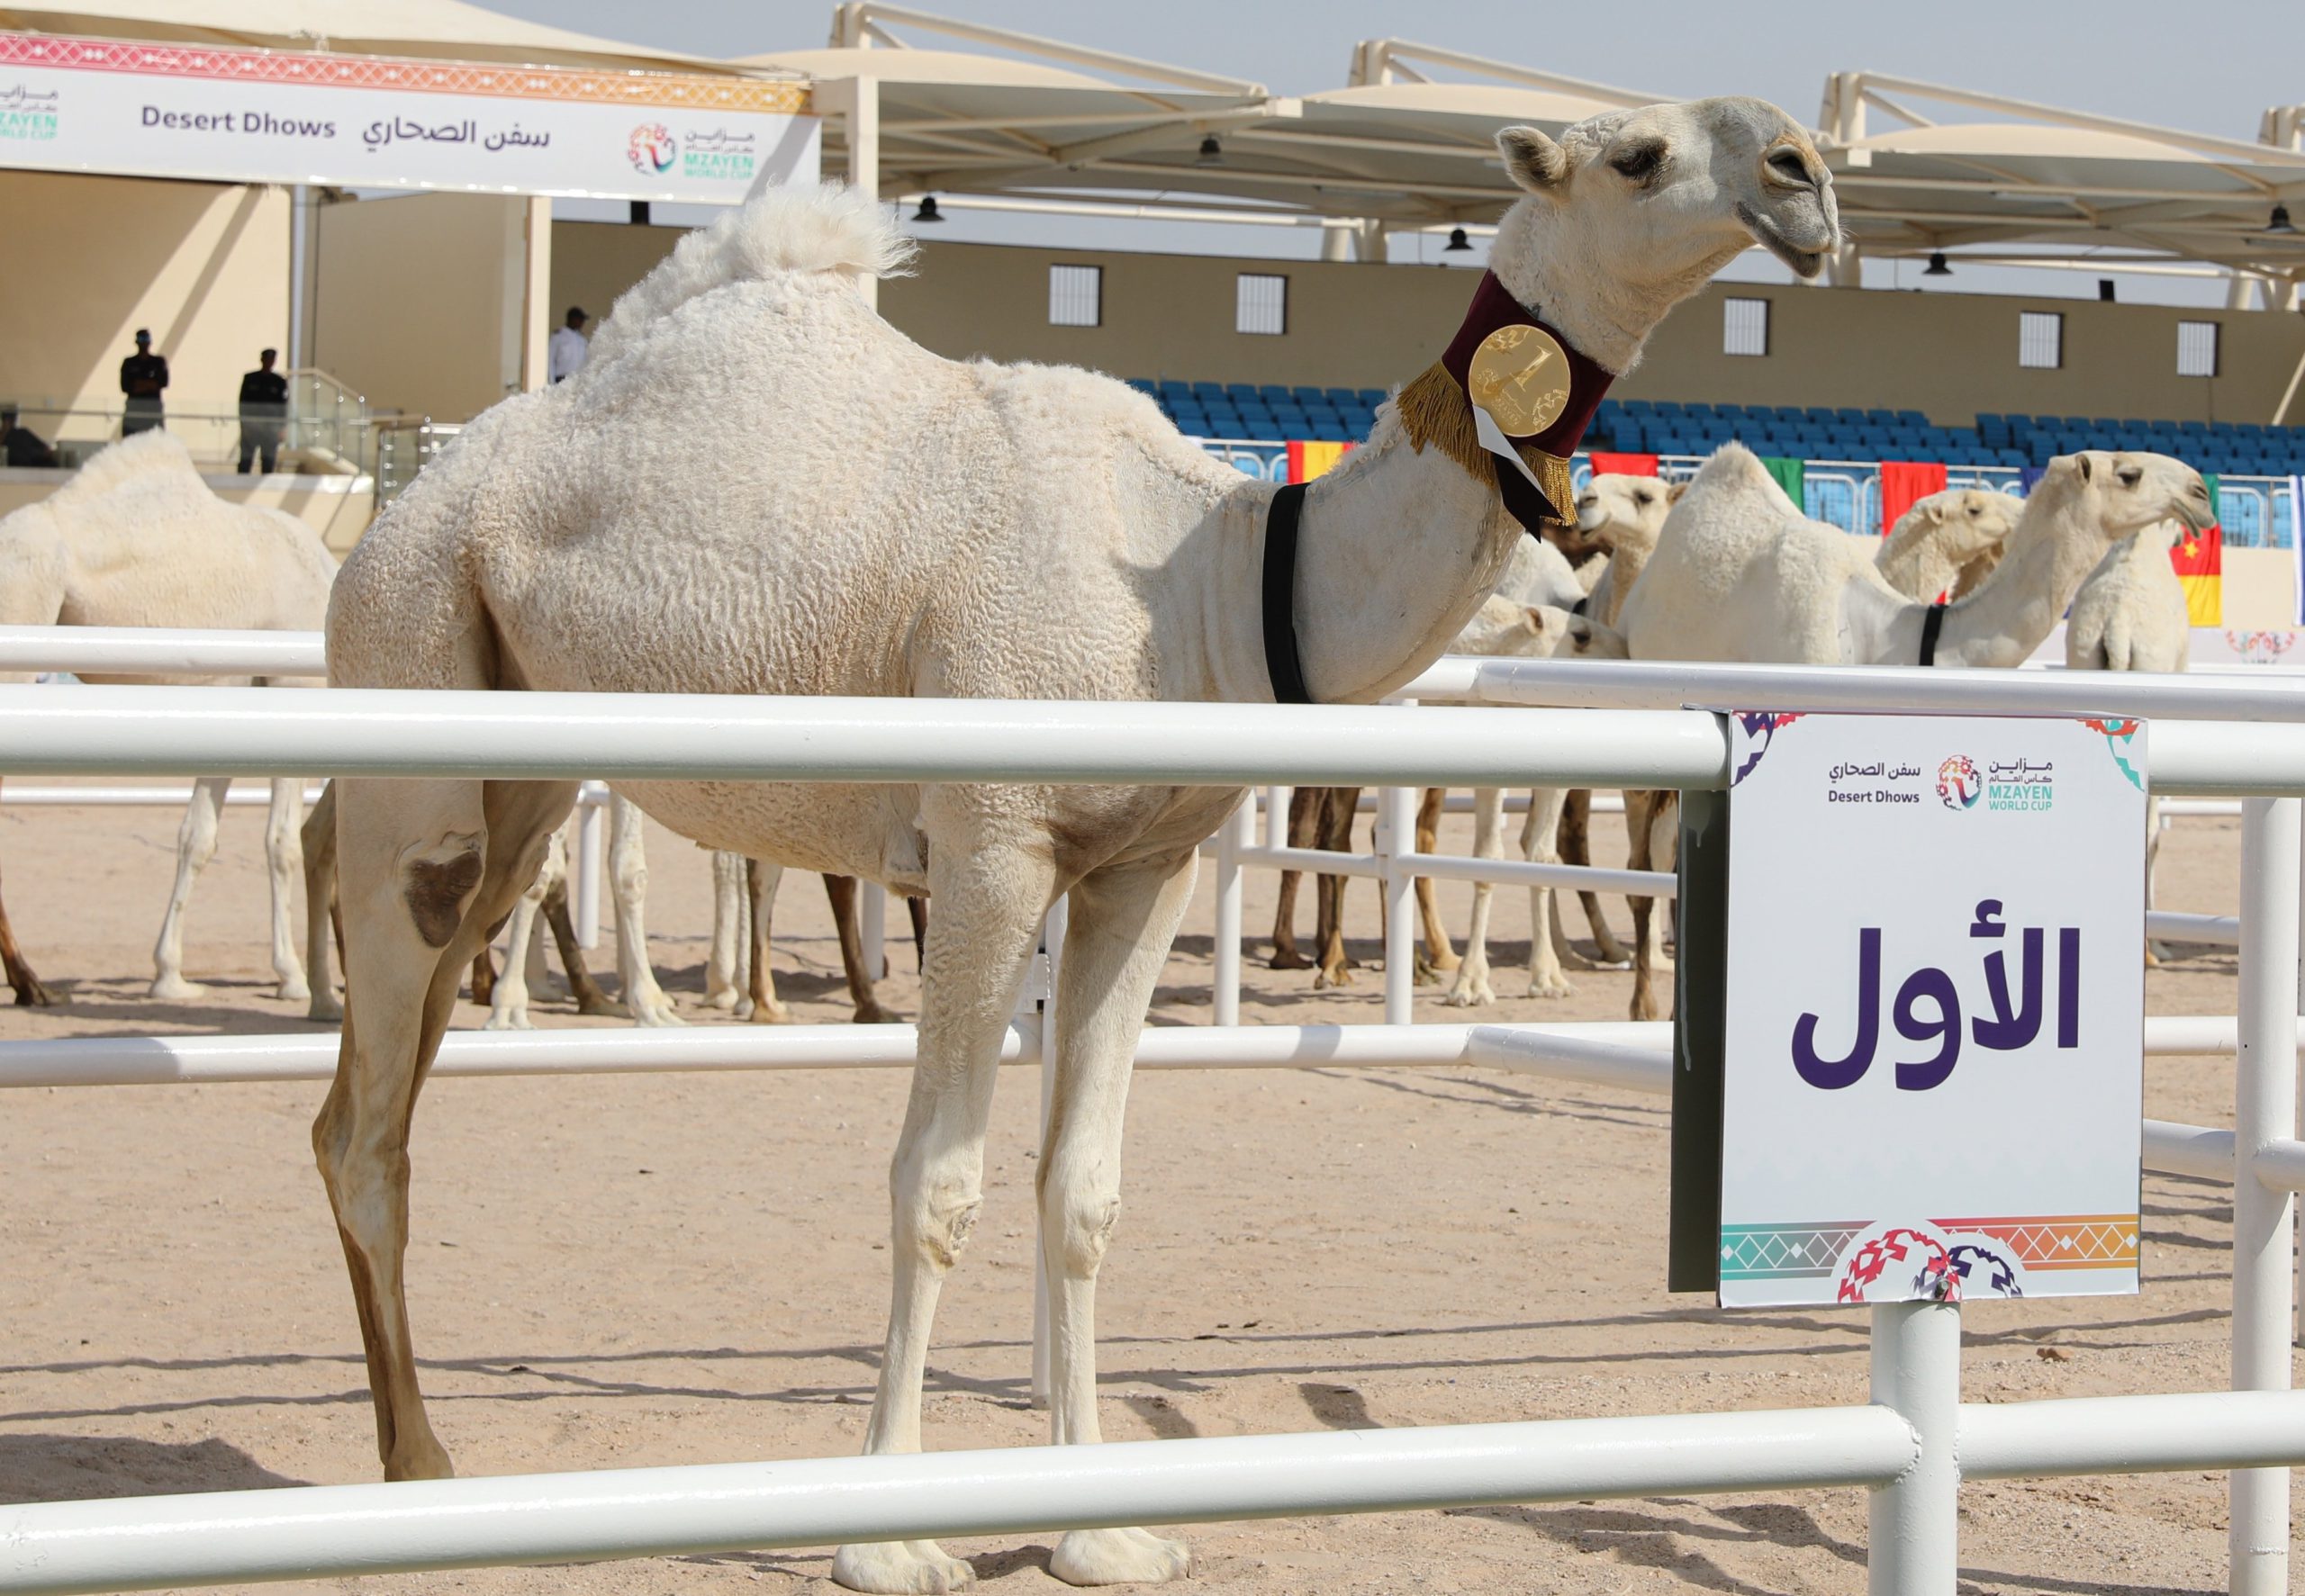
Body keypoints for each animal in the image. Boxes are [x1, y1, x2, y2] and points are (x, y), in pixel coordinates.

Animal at [0, 430, 336, 1008]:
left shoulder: (233, 707)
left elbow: (198, 837)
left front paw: (170, 975)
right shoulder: (293, 693)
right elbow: (282, 844)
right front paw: (292, 976)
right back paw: (29, 981)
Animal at [315, 105, 1844, 1584]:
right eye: (1639, 155)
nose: (1806, 176)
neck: (1212, 576)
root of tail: (395, 507)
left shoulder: (1138, 867)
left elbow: (1084, 1190)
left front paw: (1099, 1527)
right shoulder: (994, 848)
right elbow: (937, 1182)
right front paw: (892, 1538)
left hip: (514, 773)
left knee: (374, 1093)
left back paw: (410, 1450)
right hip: (414, 672)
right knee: (367, 1111)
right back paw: (421, 1470)